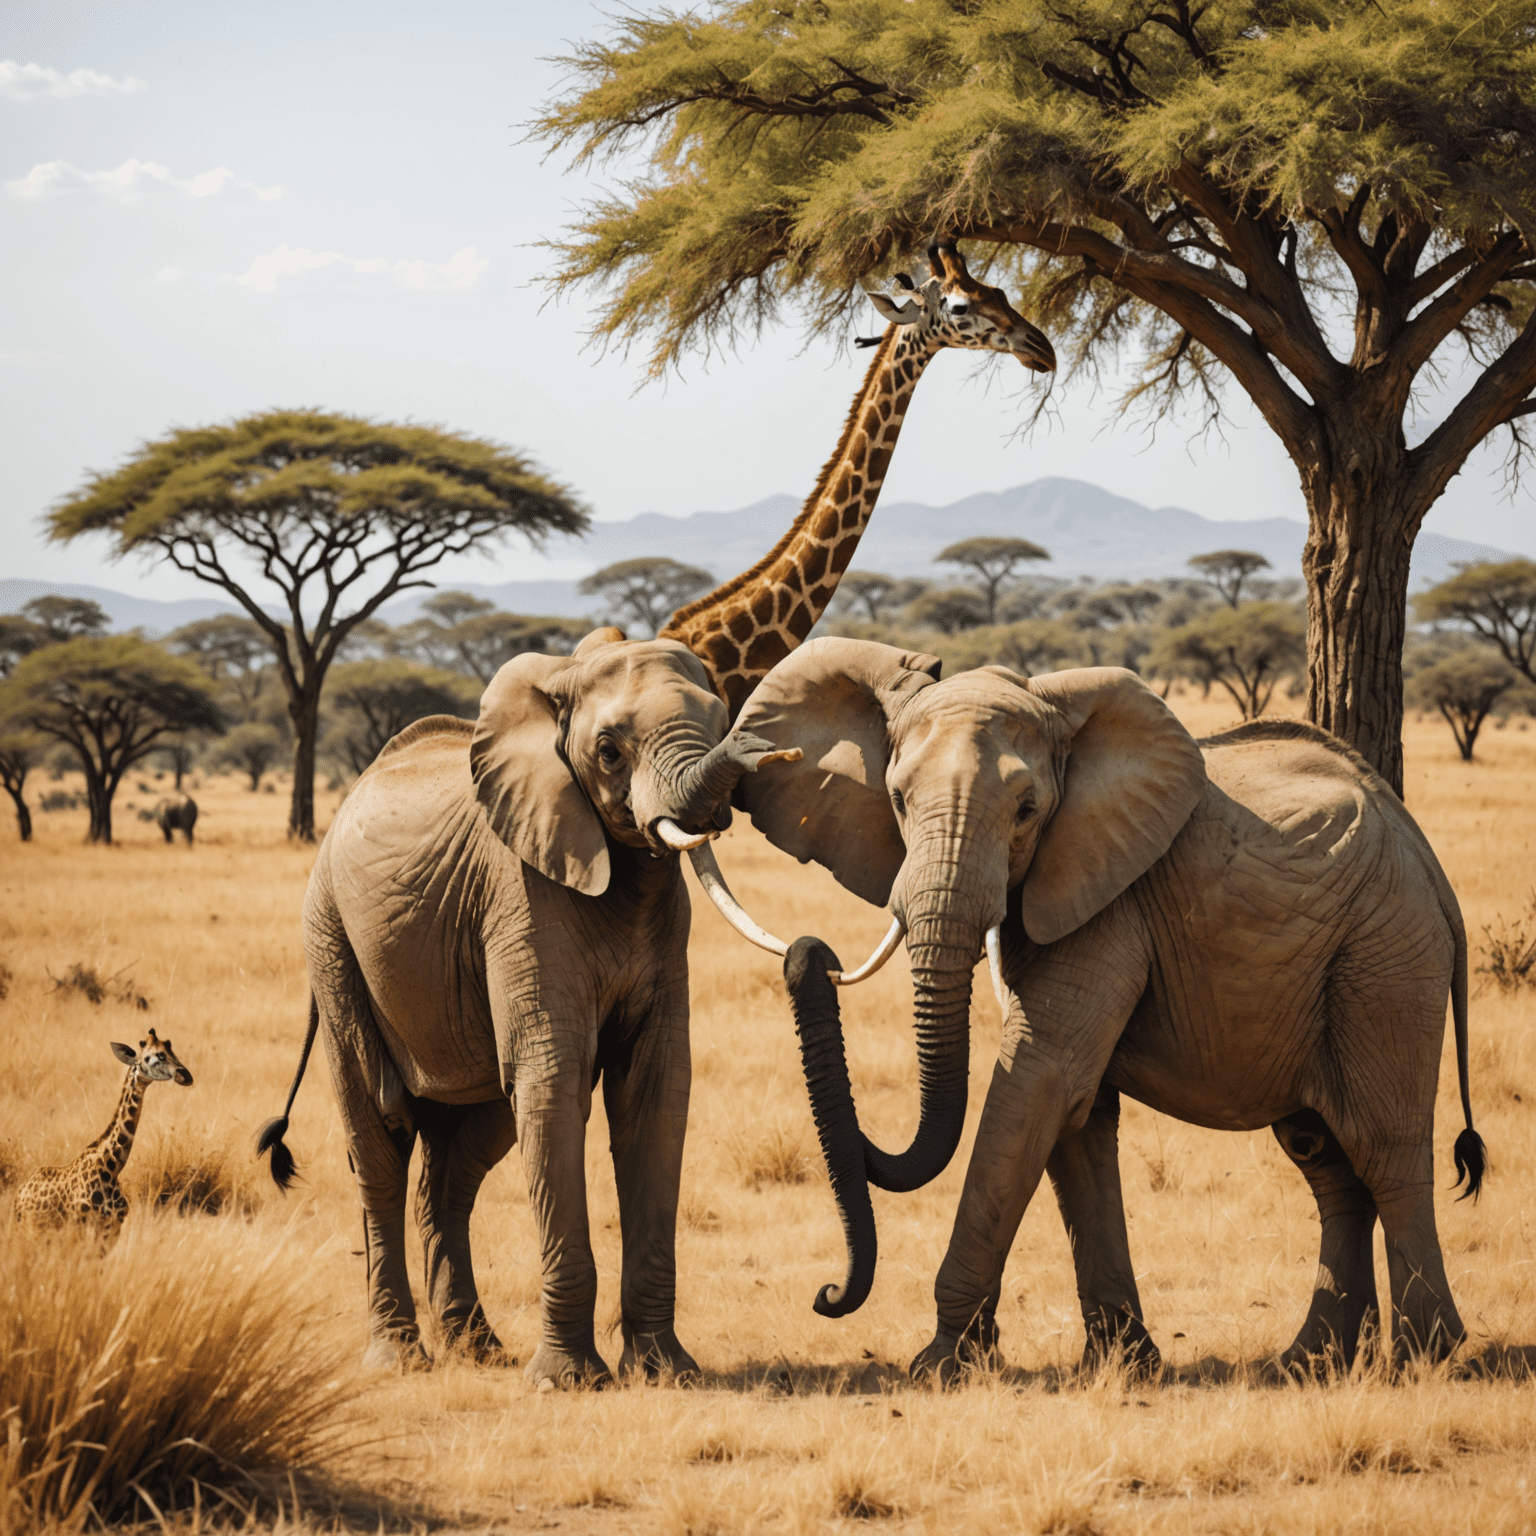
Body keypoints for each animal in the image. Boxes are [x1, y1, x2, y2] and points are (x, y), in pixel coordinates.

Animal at [13, 1032, 196, 1234]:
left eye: (171, 1051)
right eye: (155, 1056)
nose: (185, 1075)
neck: (112, 1167)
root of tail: (18, 1197)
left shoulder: (112, 1229)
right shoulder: (83, 1225)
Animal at [256, 623, 798, 1382]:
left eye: (721, 719)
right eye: (609, 750)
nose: (766, 748)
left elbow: (655, 1089)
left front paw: (666, 1371)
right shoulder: (518, 892)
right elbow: (554, 1082)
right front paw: (569, 1382)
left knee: (462, 1158)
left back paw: (477, 1348)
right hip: (332, 941)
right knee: (380, 1139)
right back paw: (399, 1360)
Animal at [712, 635, 1480, 1382]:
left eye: (1027, 812)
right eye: (898, 800)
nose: (827, 1295)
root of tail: (1425, 853)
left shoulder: (1110, 901)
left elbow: (1041, 1079)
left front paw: (941, 1363)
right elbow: (1077, 1117)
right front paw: (1125, 1363)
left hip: (1385, 958)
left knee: (1384, 1146)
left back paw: (1425, 1358)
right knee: (1324, 1158)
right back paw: (1308, 1362)